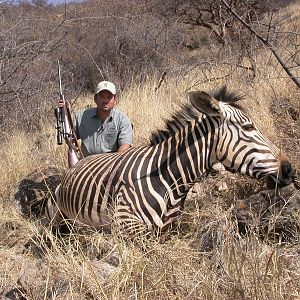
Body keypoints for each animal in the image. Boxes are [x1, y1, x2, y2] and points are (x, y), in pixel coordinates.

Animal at [45, 85, 292, 236]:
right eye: (249, 127)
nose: (289, 169)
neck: (169, 179)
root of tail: (72, 167)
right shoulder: (124, 223)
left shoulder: (169, 229)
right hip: (54, 213)